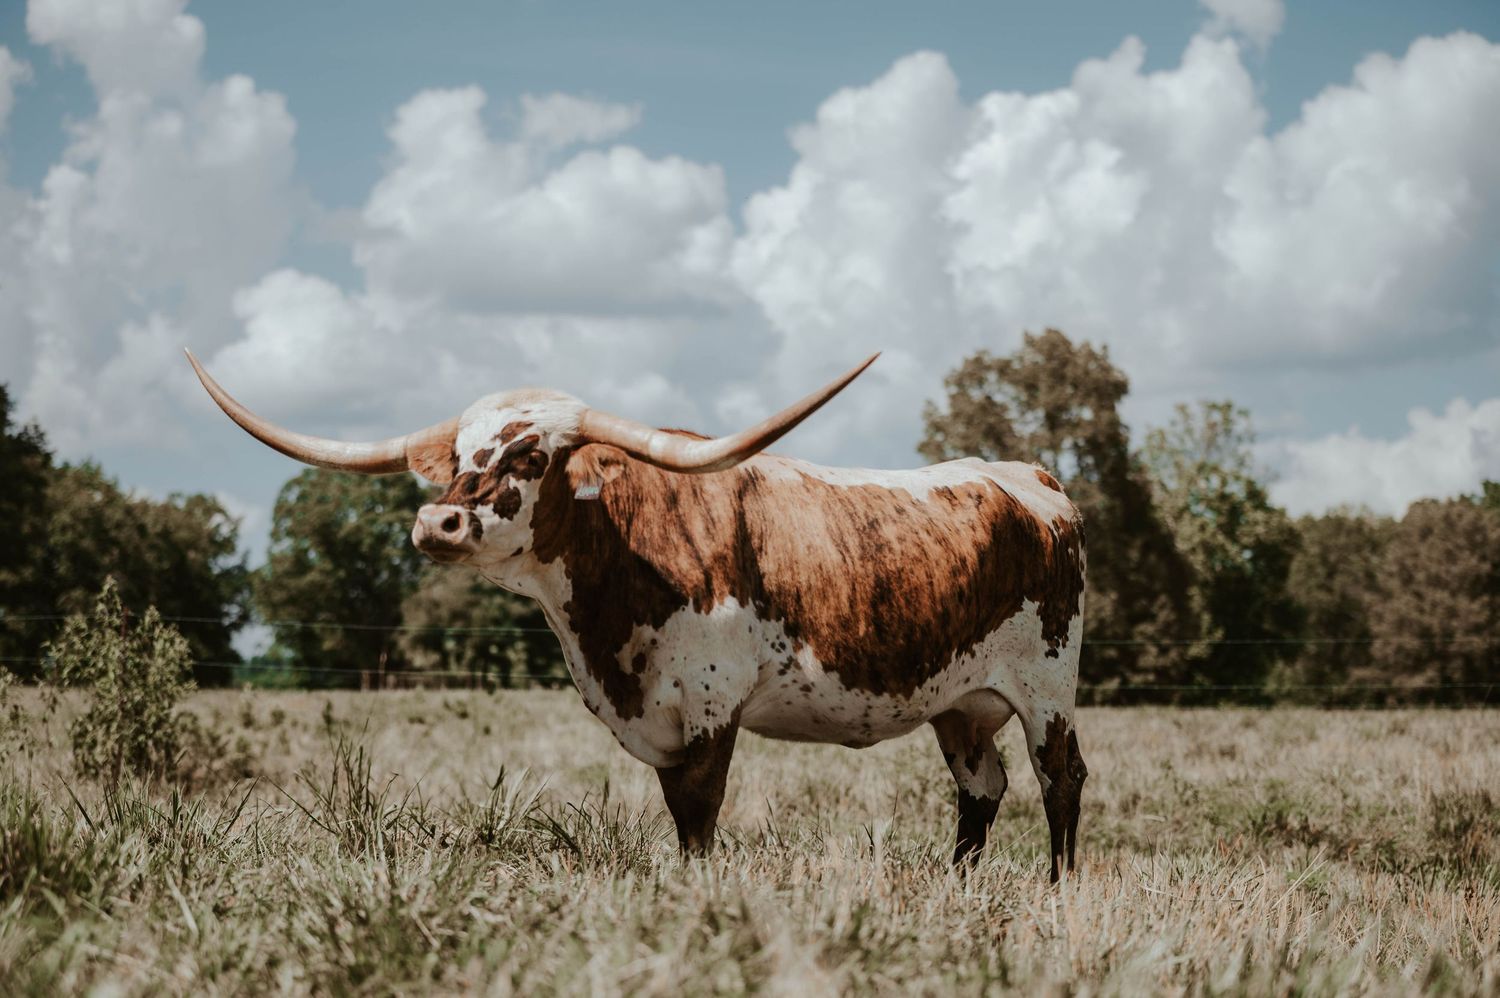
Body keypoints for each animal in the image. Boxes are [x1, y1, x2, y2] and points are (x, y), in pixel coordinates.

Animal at [187, 351, 1088, 879]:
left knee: (1060, 779)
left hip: (1047, 688)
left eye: (530, 456)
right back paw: (959, 883)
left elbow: (699, 813)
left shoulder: (712, 704)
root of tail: (1030, 477)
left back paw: (1058, 886)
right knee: (982, 786)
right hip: (960, 705)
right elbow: (678, 813)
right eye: (460, 457)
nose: (436, 523)